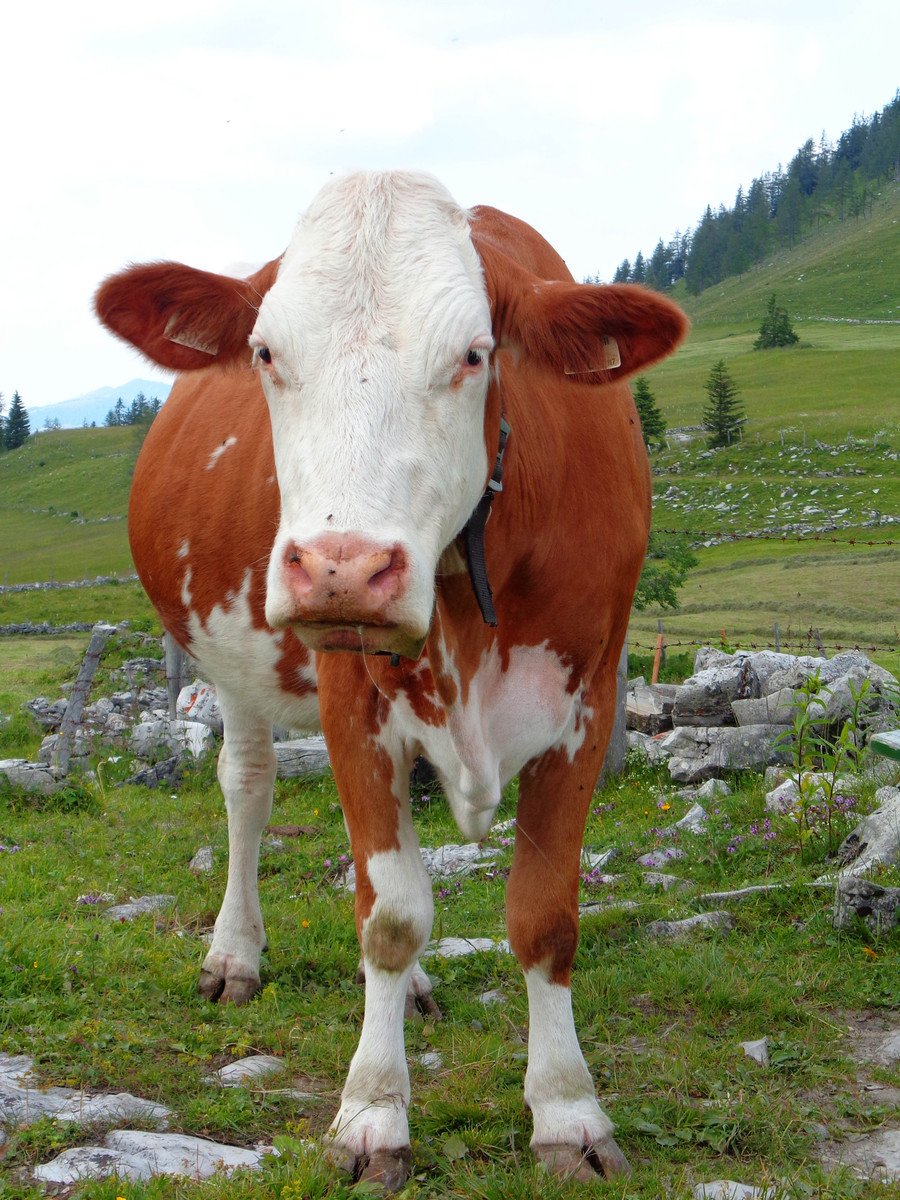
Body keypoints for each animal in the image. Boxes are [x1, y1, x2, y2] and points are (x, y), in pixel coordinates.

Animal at [97, 171, 691, 1190]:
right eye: (265, 352)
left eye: (473, 354)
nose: (341, 569)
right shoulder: (352, 703)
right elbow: (390, 916)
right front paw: (373, 1115)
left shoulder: (588, 704)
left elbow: (545, 916)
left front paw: (567, 1112)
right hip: (233, 668)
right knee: (249, 791)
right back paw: (236, 954)